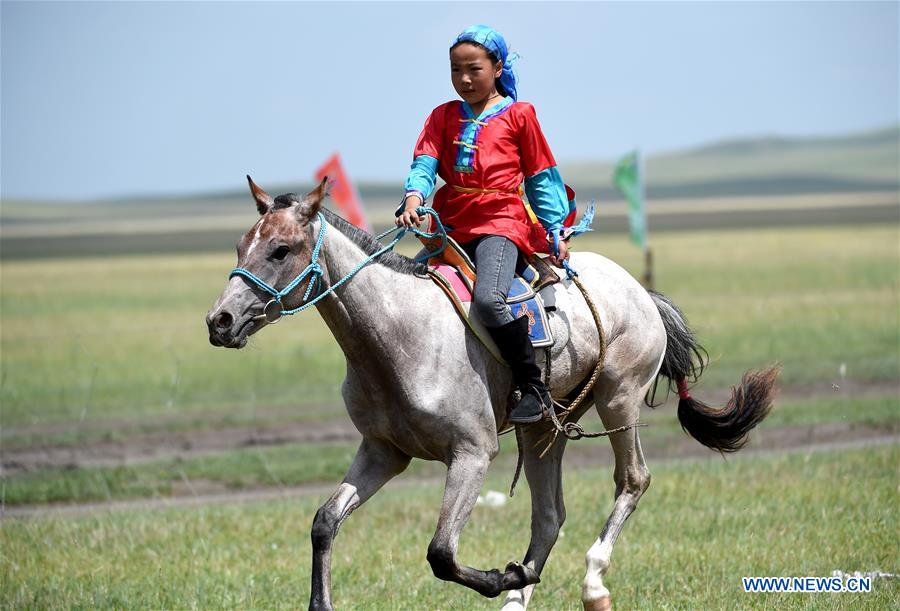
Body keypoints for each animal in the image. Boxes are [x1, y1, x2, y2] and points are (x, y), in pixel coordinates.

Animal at [206, 175, 780, 608]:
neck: (400, 337)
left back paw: (590, 583)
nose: (220, 321)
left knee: (632, 480)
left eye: (280, 250)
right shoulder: (383, 452)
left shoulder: (472, 453)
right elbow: (325, 523)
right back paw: (520, 595)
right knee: (549, 516)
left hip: (619, 400)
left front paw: (506, 576)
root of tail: (642, 292)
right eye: (240, 246)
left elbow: (441, 552)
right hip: (544, 430)